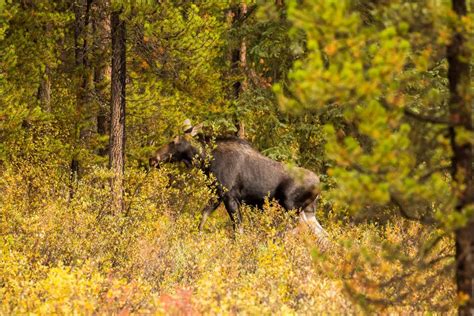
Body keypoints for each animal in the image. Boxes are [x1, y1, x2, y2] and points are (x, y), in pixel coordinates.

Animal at [150, 122, 328, 238]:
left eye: (174, 140)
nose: (153, 158)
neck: (207, 161)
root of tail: (319, 185)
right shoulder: (217, 195)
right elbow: (202, 219)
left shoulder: (230, 197)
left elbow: (238, 231)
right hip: (308, 210)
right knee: (323, 235)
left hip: (291, 207)